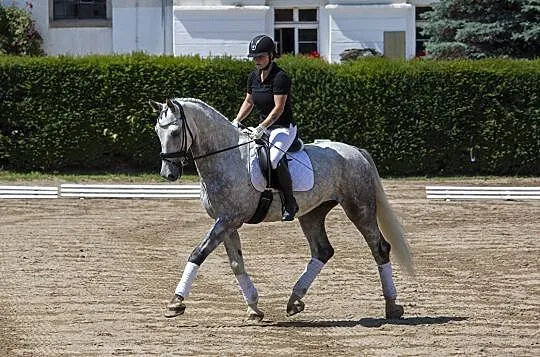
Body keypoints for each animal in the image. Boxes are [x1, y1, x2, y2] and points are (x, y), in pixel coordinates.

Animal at [150, 98, 416, 322]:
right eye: (157, 132)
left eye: (175, 132)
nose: (168, 174)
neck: (226, 157)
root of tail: (355, 151)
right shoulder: (226, 222)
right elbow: (236, 264)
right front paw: (254, 308)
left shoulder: (227, 220)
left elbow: (198, 253)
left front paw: (176, 302)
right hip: (312, 213)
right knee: (323, 251)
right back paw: (294, 300)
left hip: (359, 208)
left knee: (379, 248)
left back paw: (392, 306)